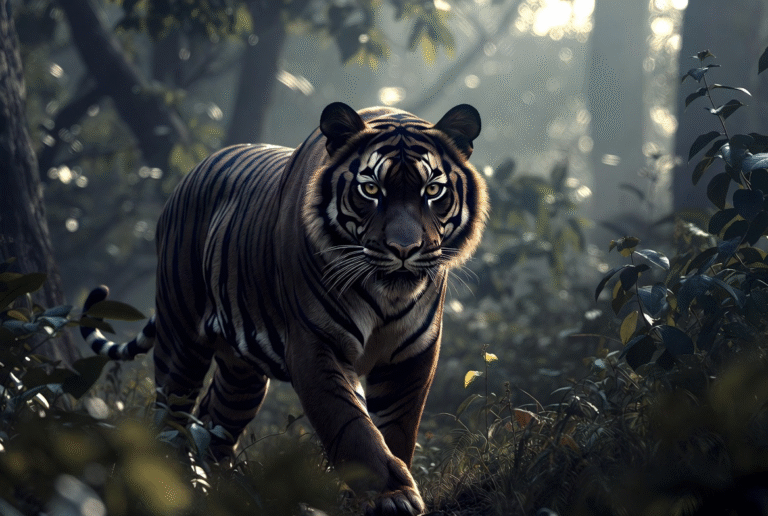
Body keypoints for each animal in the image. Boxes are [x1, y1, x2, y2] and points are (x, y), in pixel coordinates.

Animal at [81, 102, 488, 515]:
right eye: (371, 189)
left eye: (432, 190)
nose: (404, 249)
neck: (387, 297)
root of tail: (192, 171)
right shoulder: (314, 345)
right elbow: (351, 424)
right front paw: (392, 495)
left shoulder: (412, 354)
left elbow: (397, 428)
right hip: (181, 343)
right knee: (169, 415)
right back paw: (165, 484)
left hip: (240, 378)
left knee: (212, 422)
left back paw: (211, 489)